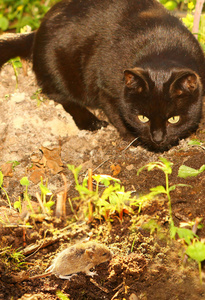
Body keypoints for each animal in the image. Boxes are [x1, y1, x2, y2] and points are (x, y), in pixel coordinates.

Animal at [0, 0, 205, 150]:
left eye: (173, 119)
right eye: (143, 118)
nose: (158, 138)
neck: (161, 49)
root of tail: (37, 31)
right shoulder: (106, 89)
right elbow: (117, 115)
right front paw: (133, 138)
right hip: (55, 67)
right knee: (58, 95)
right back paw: (91, 121)